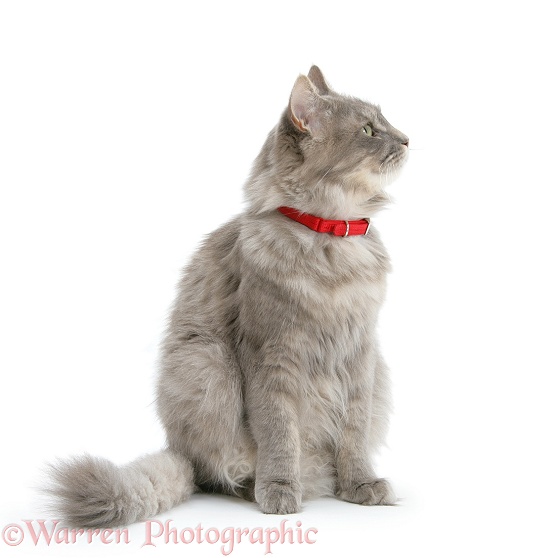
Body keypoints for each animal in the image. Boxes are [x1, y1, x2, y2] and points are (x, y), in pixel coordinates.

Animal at [47, 66, 410, 528]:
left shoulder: (361, 356)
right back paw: (258, 485)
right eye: (367, 130)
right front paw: (280, 489)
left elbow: (354, 433)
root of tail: (180, 452)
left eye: (385, 123)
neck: (330, 240)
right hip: (209, 362)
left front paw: (360, 485)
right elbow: (279, 432)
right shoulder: (272, 354)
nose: (407, 139)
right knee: (216, 473)